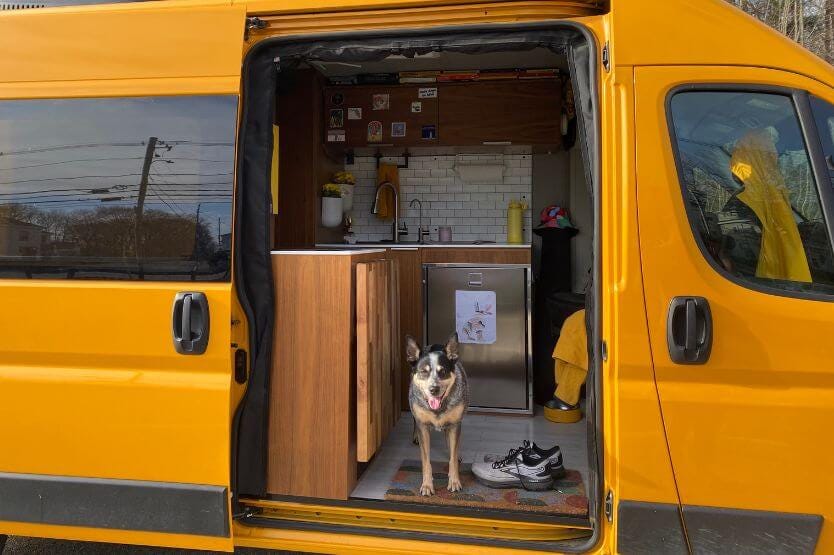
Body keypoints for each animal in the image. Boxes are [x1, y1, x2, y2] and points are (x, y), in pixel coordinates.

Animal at [408, 332, 472, 498]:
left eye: (442, 371)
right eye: (423, 371)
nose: (434, 389)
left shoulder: (455, 424)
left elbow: (453, 458)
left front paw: (454, 482)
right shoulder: (423, 426)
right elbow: (426, 461)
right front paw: (427, 486)